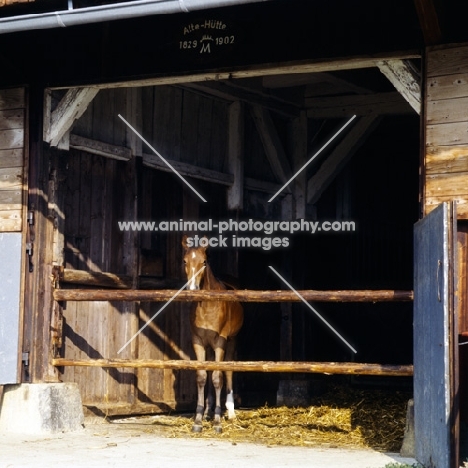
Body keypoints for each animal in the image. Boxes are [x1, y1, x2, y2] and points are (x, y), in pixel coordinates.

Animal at [181, 236, 243, 434]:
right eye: (185, 261)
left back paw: (230, 412)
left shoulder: (220, 342)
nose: (192, 289)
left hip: (232, 341)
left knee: (228, 370)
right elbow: (202, 376)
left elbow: (217, 377)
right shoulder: (198, 341)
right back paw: (208, 411)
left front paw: (217, 422)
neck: (207, 305)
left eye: (204, 262)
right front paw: (199, 419)